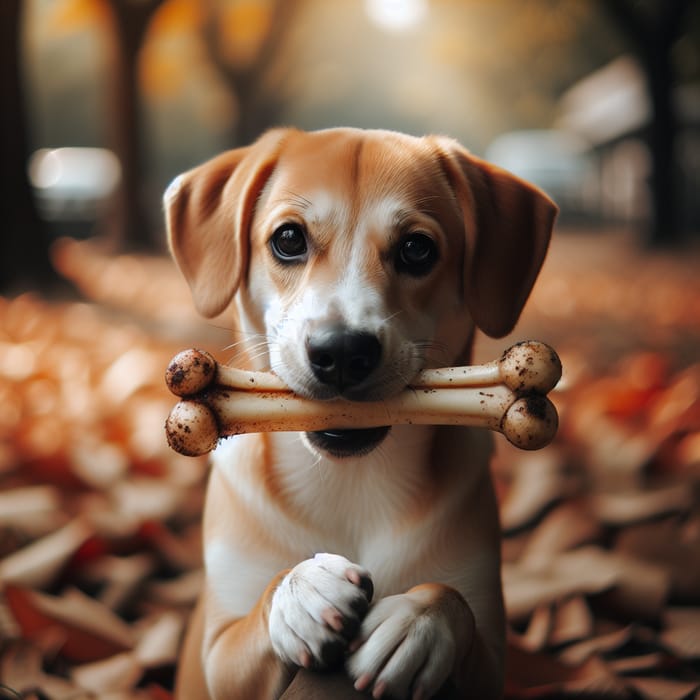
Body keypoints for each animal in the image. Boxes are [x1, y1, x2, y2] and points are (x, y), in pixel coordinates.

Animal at [165, 127, 556, 700]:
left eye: (417, 248)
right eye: (288, 239)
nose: (343, 351)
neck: (349, 483)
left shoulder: (490, 651)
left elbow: (452, 600)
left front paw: (419, 622)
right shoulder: (217, 655)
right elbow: (258, 611)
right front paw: (300, 589)